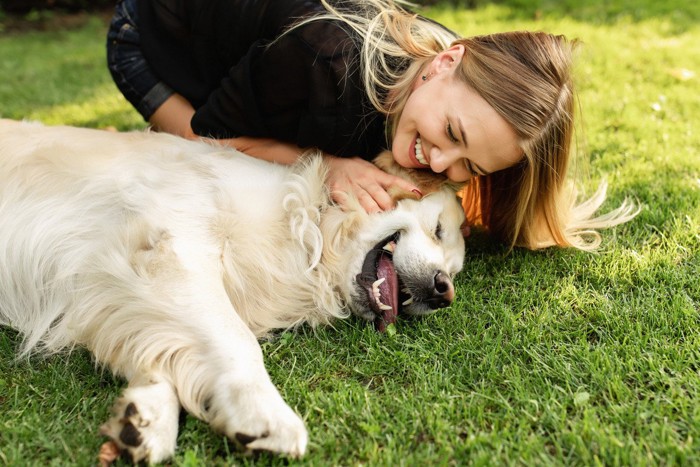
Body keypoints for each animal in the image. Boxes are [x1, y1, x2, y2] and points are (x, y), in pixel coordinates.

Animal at [0, 120, 464, 464]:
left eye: (455, 268)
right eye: (439, 229)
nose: (444, 291)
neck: (307, 224)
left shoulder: (117, 284)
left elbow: (156, 345)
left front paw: (146, 416)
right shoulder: (173, 243)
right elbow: (235, 339)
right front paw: (265, 414)